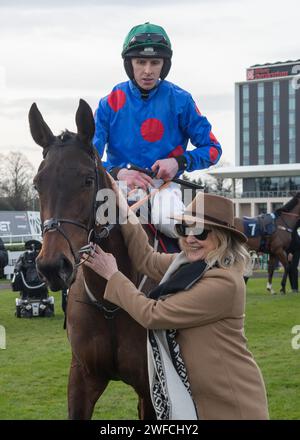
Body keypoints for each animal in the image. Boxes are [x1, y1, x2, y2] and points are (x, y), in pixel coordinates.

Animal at [28, 99, 156, 420]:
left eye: (87, 180)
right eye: (37, 184)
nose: (52, 266)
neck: (110, 298)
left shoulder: (151, 389)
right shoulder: (82, 379)